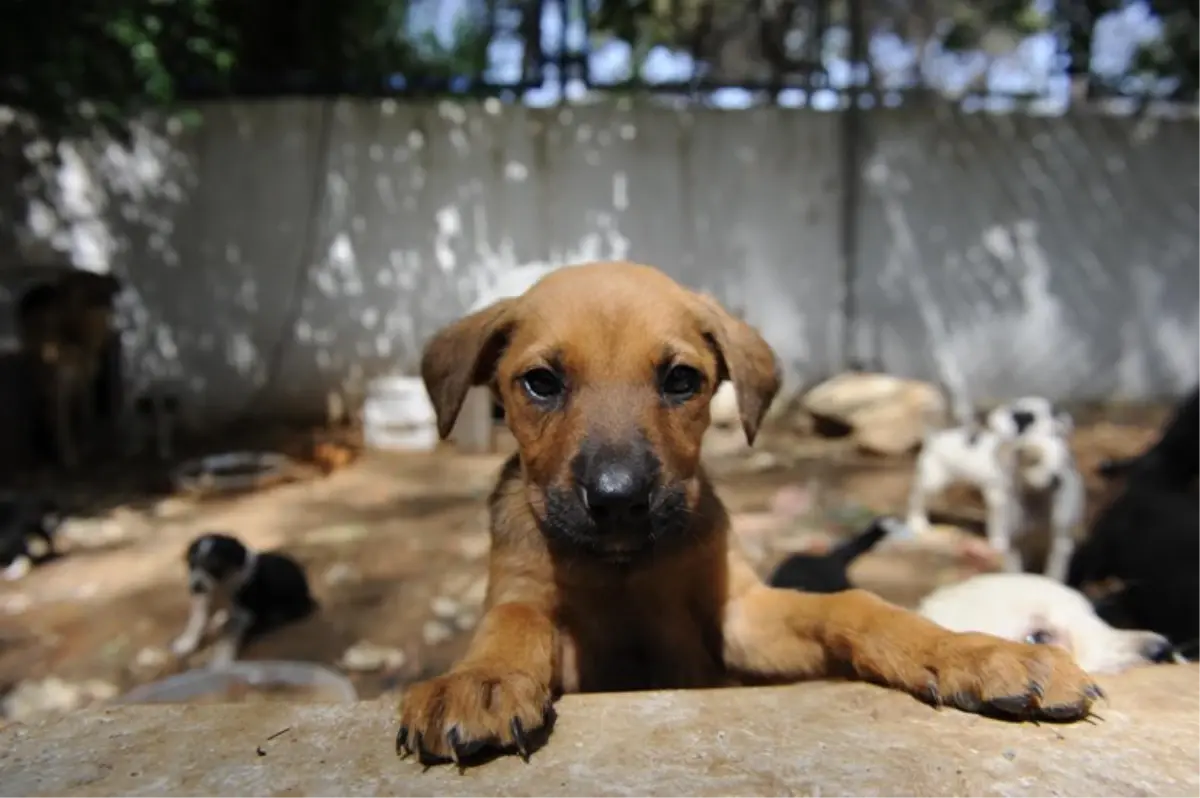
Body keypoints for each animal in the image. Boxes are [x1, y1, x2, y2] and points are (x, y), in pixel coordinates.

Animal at [17, 271, 122, 468]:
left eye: (97, 279)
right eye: (89, 280)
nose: (115, 280)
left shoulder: (83, 382)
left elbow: (82, 414)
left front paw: (83, 446)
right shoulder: (61, 382)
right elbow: (63, 419)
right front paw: (68, 456)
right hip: (39, 372)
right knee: (40, 401)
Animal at [171, 532, 319, 667]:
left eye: (215, 565)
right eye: (192, 564)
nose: (195, 588)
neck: (221, 585)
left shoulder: (242, 615)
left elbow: (227, 638)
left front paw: (221, 662)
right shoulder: (204, 602)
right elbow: (195, 623)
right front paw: (185, 644)